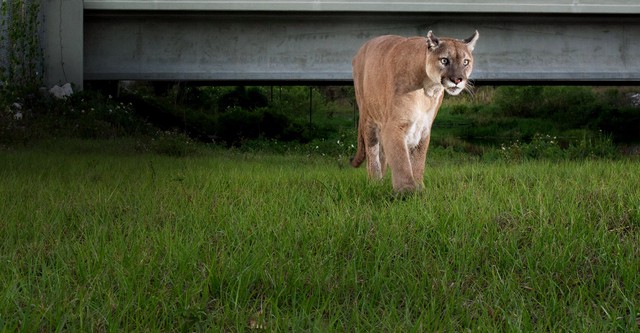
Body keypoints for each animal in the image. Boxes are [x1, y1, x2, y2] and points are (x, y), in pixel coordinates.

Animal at [350, 31, 480, 193]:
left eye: (465, 62)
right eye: (444, 60)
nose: (457, 79)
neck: (428, 90)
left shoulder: (423, 129)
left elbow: (418, 160)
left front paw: (419, 187)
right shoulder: (394, 126)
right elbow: (401, 159)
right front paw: (407, 191)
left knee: (382, 154)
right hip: (368, 118)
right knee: (372, 154)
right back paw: (375, 182)